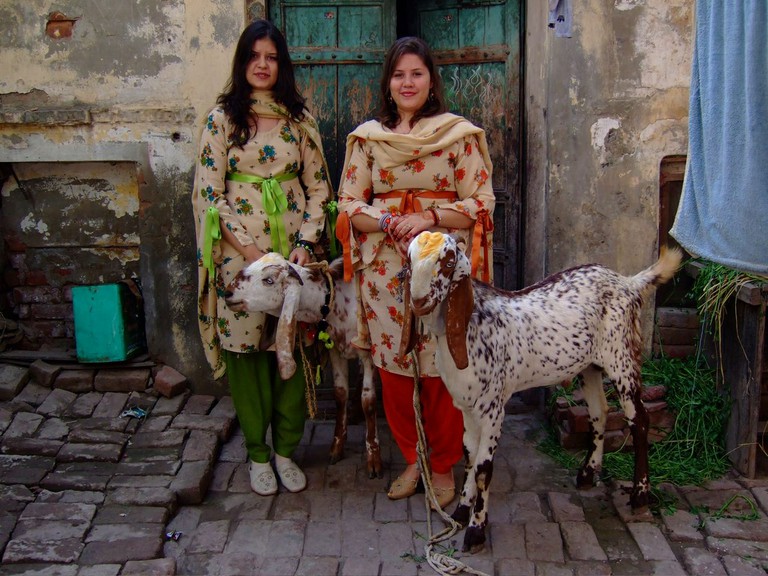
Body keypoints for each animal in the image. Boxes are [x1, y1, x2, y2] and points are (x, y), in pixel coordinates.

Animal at [224, 253, 382, 479]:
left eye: (268, 280)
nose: (228, 293)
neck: (334, 299)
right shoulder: (336, 350)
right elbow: (339, 394)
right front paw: (336, 447)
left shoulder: (368, 354)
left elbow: (368, 402)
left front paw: (374, 459)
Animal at [401, 231, 682, 553]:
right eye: (409, 259)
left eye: (448, 262)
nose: (419, 300)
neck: (472, 323)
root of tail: (628, 283)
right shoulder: (467, 407)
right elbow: (470, 455)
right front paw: (460, 512)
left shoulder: (493, 407)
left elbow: (484, 468)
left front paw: (476, 530)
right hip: (590, 366)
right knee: (599, 412)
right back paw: (587, 473)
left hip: (622, 357)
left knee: (639, 421)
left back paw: (640, 495)